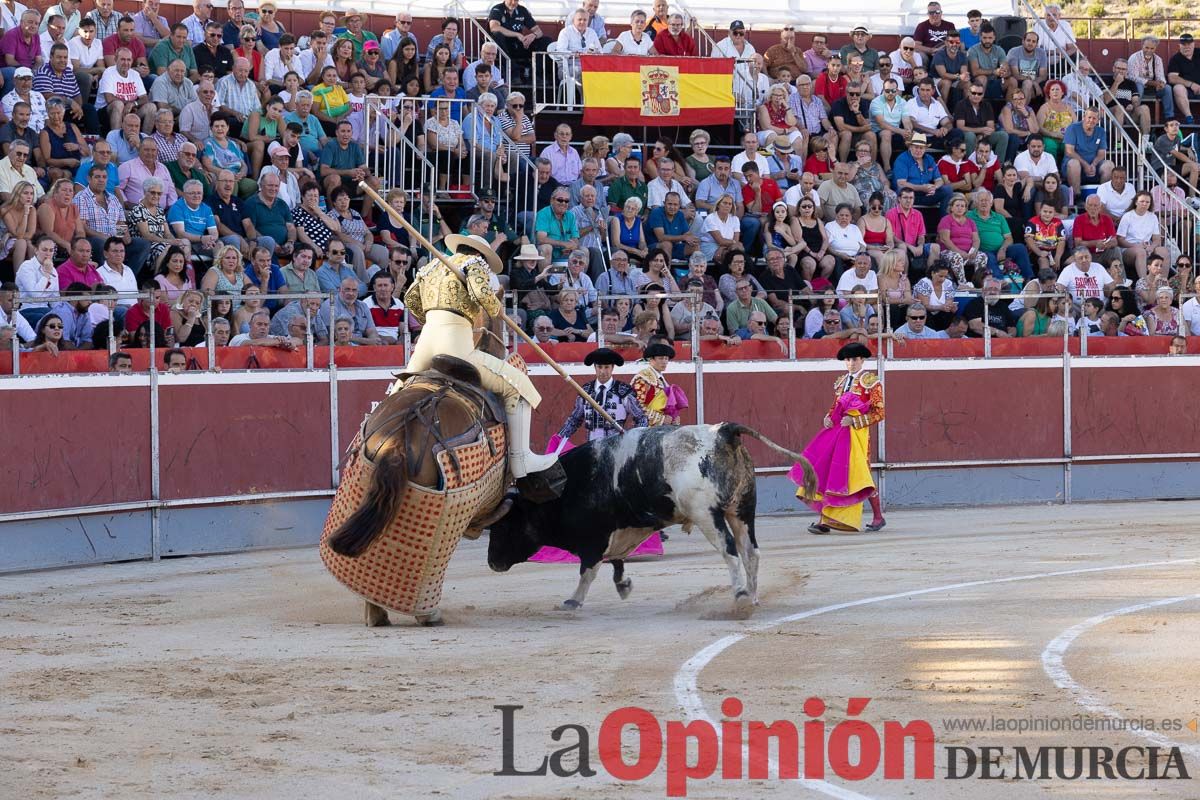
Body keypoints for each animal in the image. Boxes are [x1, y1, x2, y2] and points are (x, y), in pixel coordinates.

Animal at [484, 424, 816, 614]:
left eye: (504, 526)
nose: (492, 562)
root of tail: (721, 432)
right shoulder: (618, 532)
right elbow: (616, 563)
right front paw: (624, 585)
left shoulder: (594, 538)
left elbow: (588, 570)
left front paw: (573, 601)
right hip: (742, 511)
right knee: (751, 553)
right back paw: (754, 596)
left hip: (708, 515)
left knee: (730, 552)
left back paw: (740, 595)